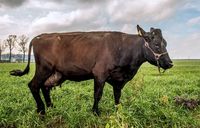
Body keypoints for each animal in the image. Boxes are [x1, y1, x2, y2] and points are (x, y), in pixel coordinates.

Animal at [9, 25, 172, 116]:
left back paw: (51, 106)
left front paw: (118, 111)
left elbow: (117, 96)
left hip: (56, 73)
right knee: (34, 85)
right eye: (156, 44)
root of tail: (39, 37)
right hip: (44, 68)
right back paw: (42, 111)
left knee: (45, 86)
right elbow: (97, 95)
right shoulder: (100, 74)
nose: (170, 63)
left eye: (165, 43)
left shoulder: (118, 79)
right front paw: (95, 112)